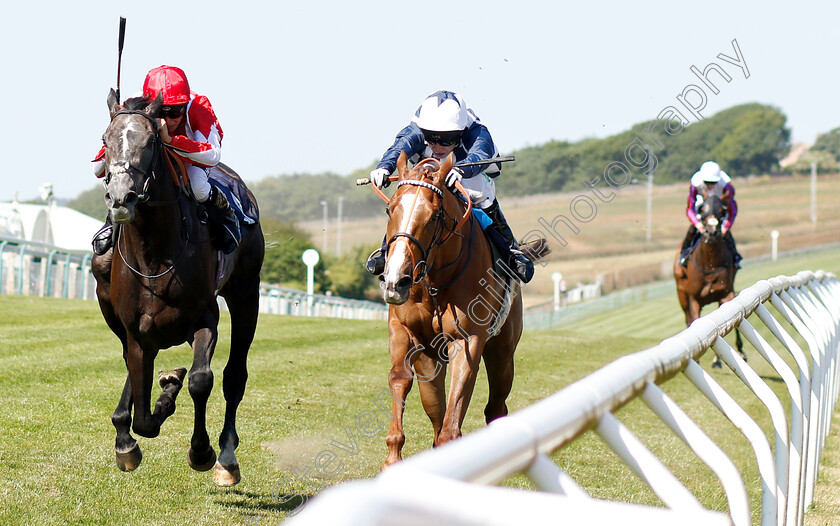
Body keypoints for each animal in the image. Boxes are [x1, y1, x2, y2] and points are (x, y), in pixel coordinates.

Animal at [90, 91, 264, 486]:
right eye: (106, 140)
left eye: (151, 142)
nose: (121, 198)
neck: (155, 256)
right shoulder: (137, 331)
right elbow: (142, 416)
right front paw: (132, 434)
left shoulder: (205, 320)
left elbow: (201, 381)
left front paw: (201, 451)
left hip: (246, 294)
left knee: (234, 377)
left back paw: (227, 458)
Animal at [376, 151, 548, 468]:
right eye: (389, 209)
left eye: (434, 216)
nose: (396, 280)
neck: (434, 282)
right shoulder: (402, 332)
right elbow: (400, 379)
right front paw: (393, 456)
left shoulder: (467, 340)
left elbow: (455, 409)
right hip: (430, 361)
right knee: (436, 408)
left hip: (502, 353)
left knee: (495, 407)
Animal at [672, 191, 744, 368]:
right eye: (702, 209)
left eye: (723, 210)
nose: (711, 233)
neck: (710, 264)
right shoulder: (693, 299)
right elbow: (697, 323)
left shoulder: (726, 293)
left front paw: (737, 353)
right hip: (681, 295)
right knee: (688, 320)